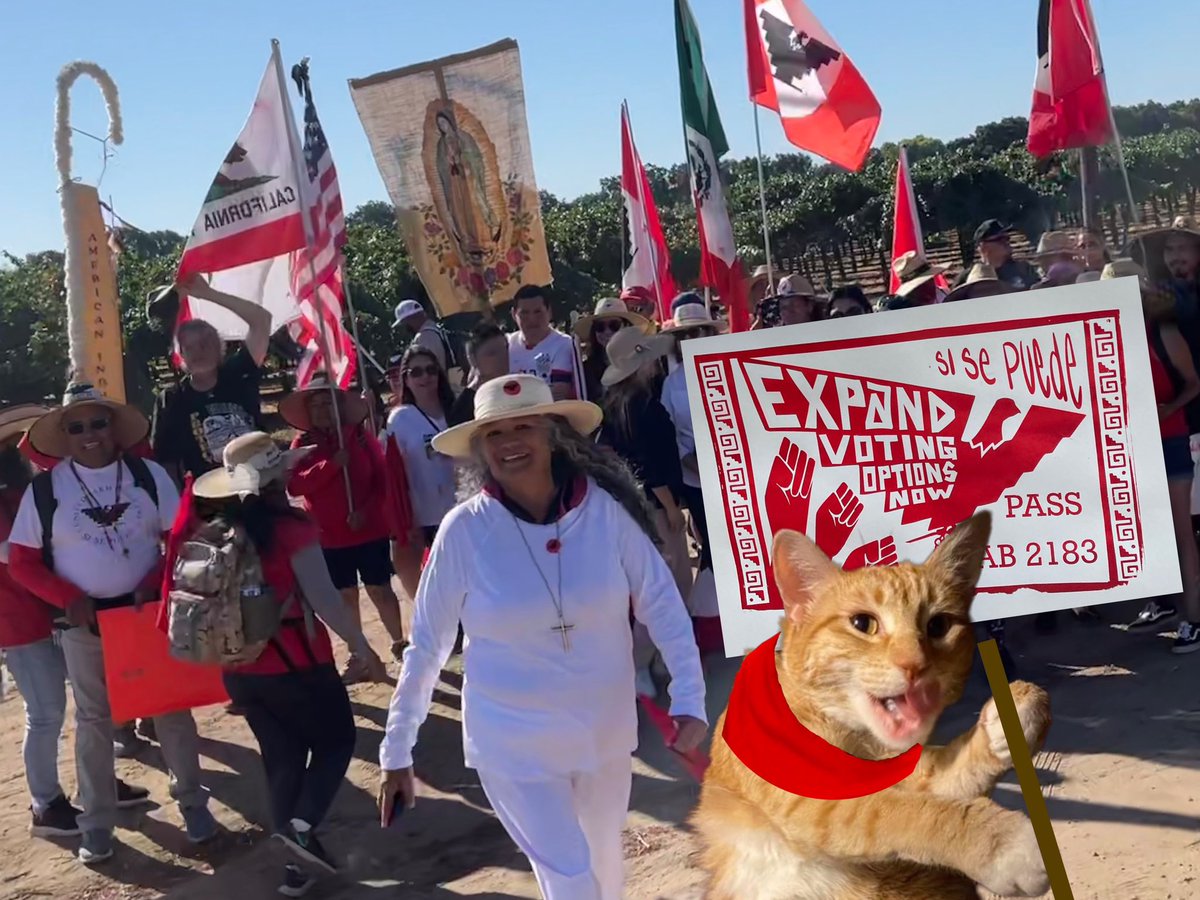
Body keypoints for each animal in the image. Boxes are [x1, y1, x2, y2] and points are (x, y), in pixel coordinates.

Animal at [696, 513, 1051, 900]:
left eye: (938, 625)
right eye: (862, 624)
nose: (914, 666)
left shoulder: (912, 767)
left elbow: (944, 775)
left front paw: (1011, 717)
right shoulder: (814, 801)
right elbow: (894, 812)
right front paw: (1004, 843)